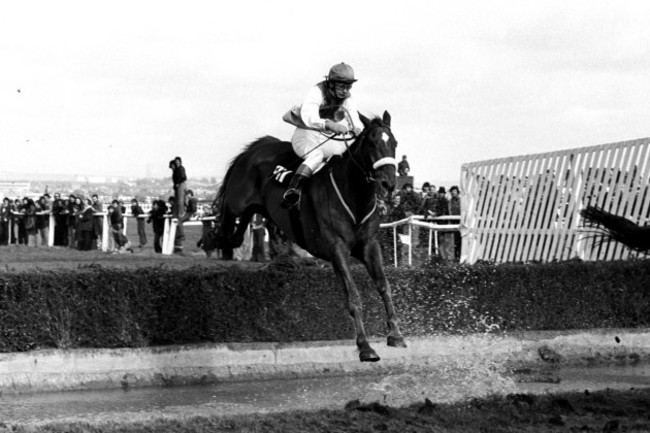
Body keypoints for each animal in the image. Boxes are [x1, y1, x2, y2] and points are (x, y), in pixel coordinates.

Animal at [213, 110, 404, 362]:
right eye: (372, 143)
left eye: (394, 143)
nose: (389, 182)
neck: (354, 195)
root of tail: (257, 147)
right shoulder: (337, 248)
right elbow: (353, 296)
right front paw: (365, 347)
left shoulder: (369, 245)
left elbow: (384, 286)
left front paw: (396, 334)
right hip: (236, 202)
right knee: (227, 222)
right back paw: (219, 243)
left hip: (259, 207)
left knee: (246, 224)